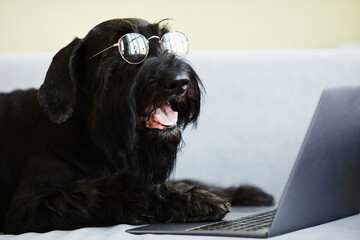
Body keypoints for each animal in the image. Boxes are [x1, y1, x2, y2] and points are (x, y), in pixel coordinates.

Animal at [0, 18, 272, 234]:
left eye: (167, 42)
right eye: (127, 51)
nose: (180, 82)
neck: (89, 139)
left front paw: (240, 191)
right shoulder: (30, 207)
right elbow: (111, 190)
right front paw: (188, 199)